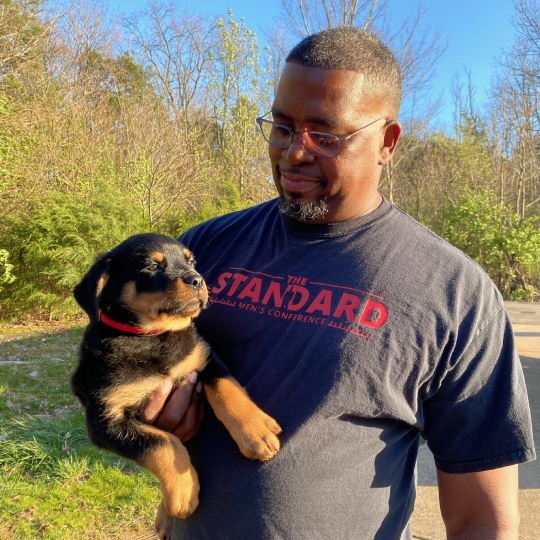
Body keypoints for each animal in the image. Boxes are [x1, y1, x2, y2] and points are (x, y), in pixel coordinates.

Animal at [70, 233, 282, 540]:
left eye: (191, 261)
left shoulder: (204, 357)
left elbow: (227, 390)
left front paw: (256, 430)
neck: (152, 337)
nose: (197, 280)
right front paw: (183, 492)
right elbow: (162, 443)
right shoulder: (104, 419)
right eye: (151, 267)